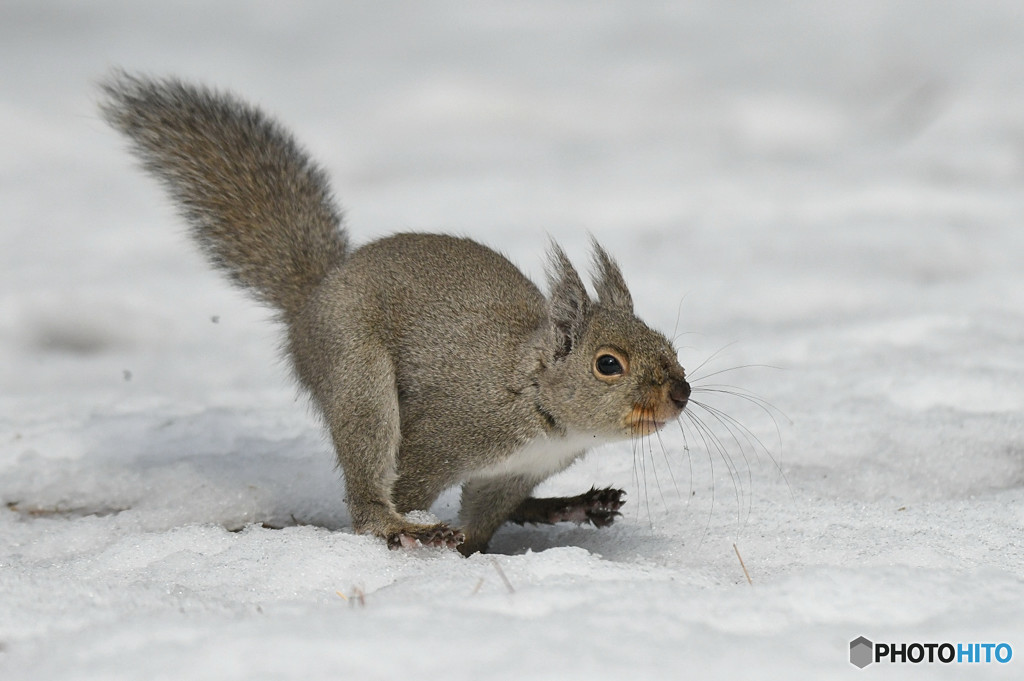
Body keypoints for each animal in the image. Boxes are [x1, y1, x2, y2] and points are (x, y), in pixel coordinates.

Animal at [99, 71, 692, 557]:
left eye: (669, 346)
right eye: (608, 364)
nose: (681, 393)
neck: (536, 399)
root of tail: (316, 295)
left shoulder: (510, 475)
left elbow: (482, 522)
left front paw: (474, 548)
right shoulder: (443, 439)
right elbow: (408, 490)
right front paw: (416, 534)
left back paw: (568, 505)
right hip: (356, 372)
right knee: (367, 477)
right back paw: (396, 527)